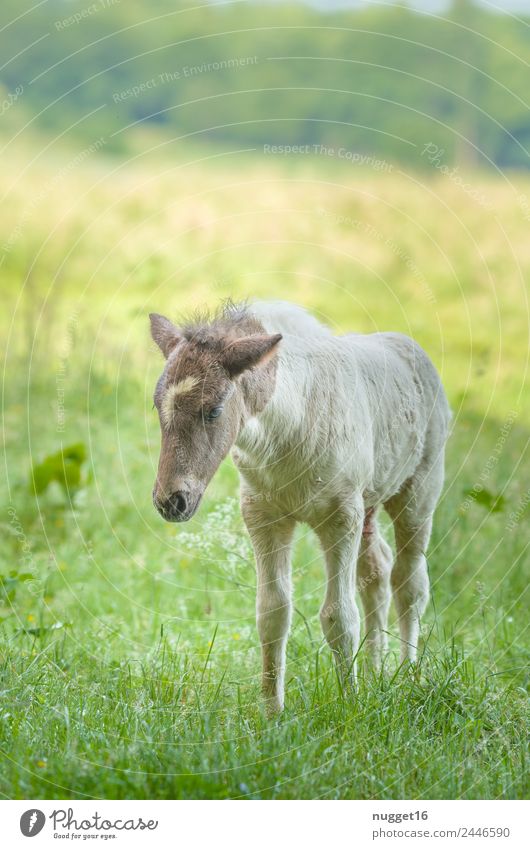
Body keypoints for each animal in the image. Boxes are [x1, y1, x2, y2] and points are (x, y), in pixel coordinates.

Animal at [150, 302, 450, 712]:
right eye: (157, 406)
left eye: (213, 411)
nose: (171, 501)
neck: (290, 427)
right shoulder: (263, 516)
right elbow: (272, 613)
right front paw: (272, 713)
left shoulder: (341, 516)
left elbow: (339, 616)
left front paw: (349, 705)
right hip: (369, 504)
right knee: (377, 570)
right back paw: (375, 673)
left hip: (418, 492)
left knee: (410, 581)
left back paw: (408, 676)